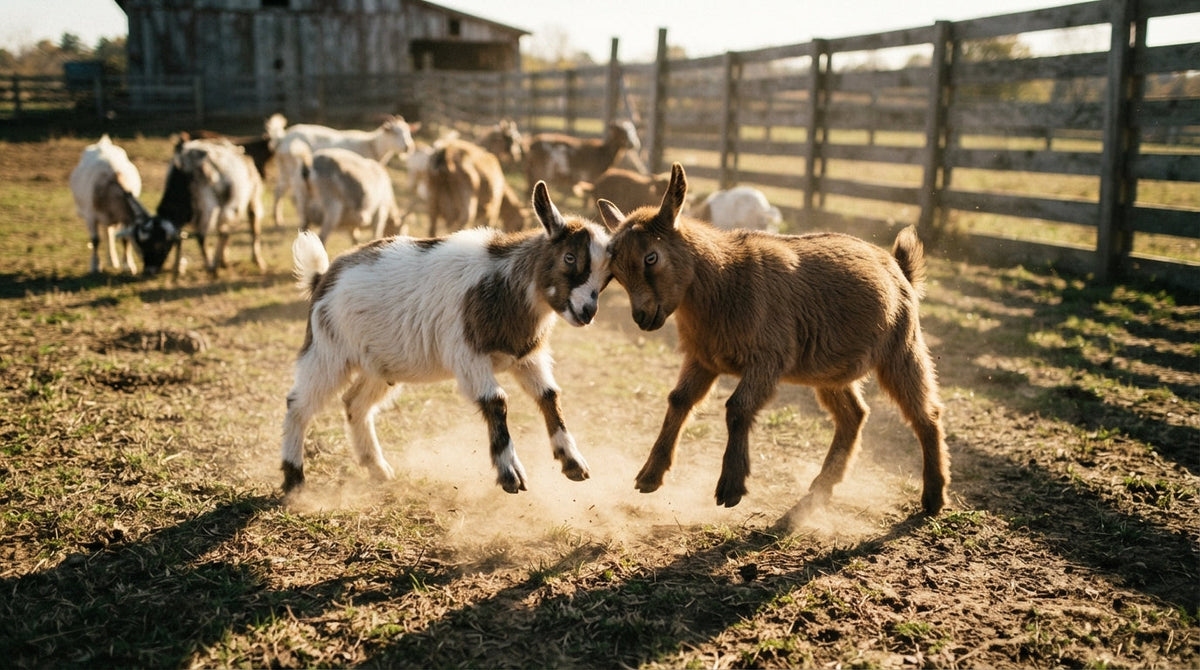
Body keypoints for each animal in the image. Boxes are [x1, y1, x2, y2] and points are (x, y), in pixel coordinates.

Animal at [69, 135, 143, 274]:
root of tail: (104, 143)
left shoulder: (124, 218)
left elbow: (125, 239)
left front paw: (128, 266)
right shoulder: (90, 216)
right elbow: (95, 240)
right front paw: (95, 266)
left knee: (109, 233)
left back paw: (113, 261)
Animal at [268, 115, 418, 226]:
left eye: (408, 132)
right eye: (395, 132)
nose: (408, 147)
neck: (371, 145)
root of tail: (283, 138)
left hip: (283, 168)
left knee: (279, 190)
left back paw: (278, 218)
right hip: (293, 167)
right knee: (290, 191)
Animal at [279, 181, 612, 494]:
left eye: (607, 276)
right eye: (570, 257)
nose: (587, 312)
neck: (505, 284)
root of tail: (323, 278)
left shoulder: (526, 358)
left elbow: (549, 395)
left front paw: (573, 462)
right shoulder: (468, 356)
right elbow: (497, 401)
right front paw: (510, 474)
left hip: (381, 364)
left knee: (355, 403)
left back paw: (377, 468)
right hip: (328, 351)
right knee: (299, 404)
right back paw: (294, 478)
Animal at [600, 163, 949, 530]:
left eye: (651, 257)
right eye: (616, 273)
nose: (642, 317)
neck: (724, 279)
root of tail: (899, 269)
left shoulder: (767, 358)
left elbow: (738, 407)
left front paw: (731, 486)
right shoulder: (703, 359)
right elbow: (679, 400)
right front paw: (650, 475)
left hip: (902, 348)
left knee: (926, 415)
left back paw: (933, 496)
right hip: (831, 369)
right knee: (854, 415)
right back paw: (820, 490)